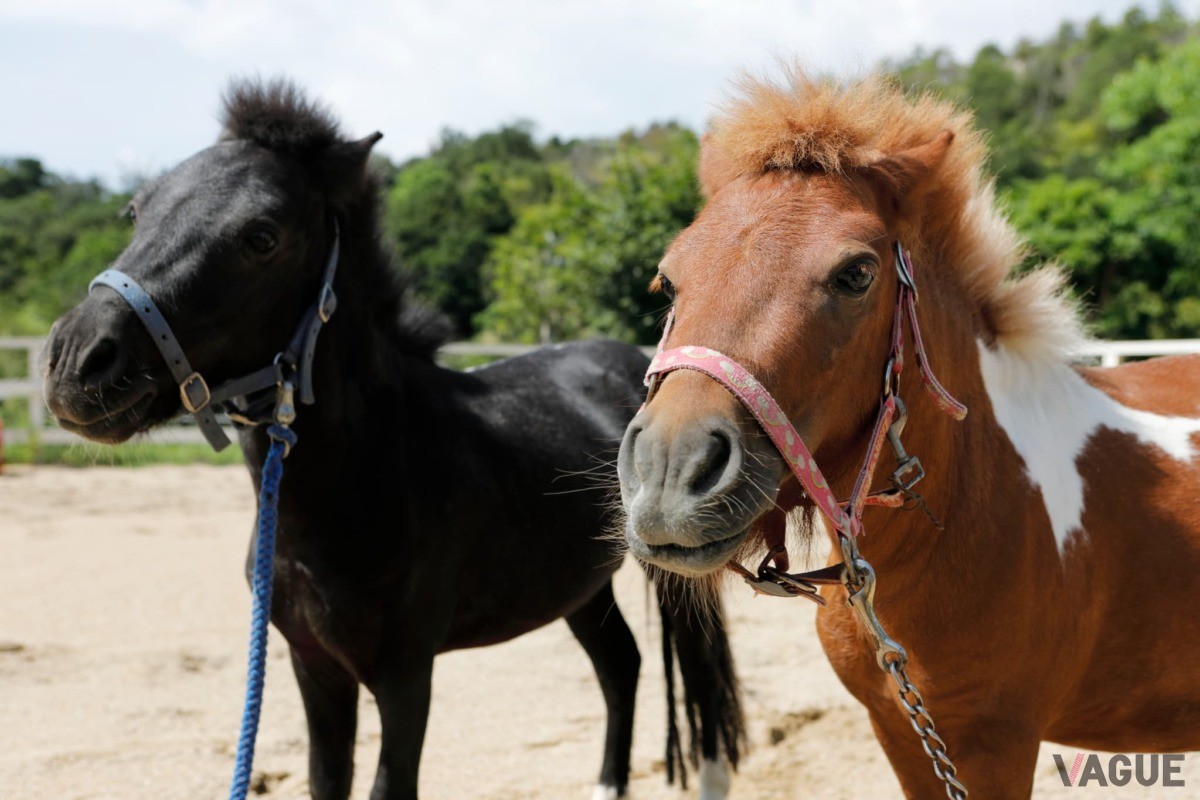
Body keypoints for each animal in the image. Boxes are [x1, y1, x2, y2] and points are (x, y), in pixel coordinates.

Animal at [38, 80, 745, 800]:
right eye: (136, 211)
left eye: (262, 237)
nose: (76, 362)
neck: (374, 475)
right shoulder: (315, 667)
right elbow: (326, 779)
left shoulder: (405, 676)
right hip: (578, 582)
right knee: (619, 665)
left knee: (696, 678)